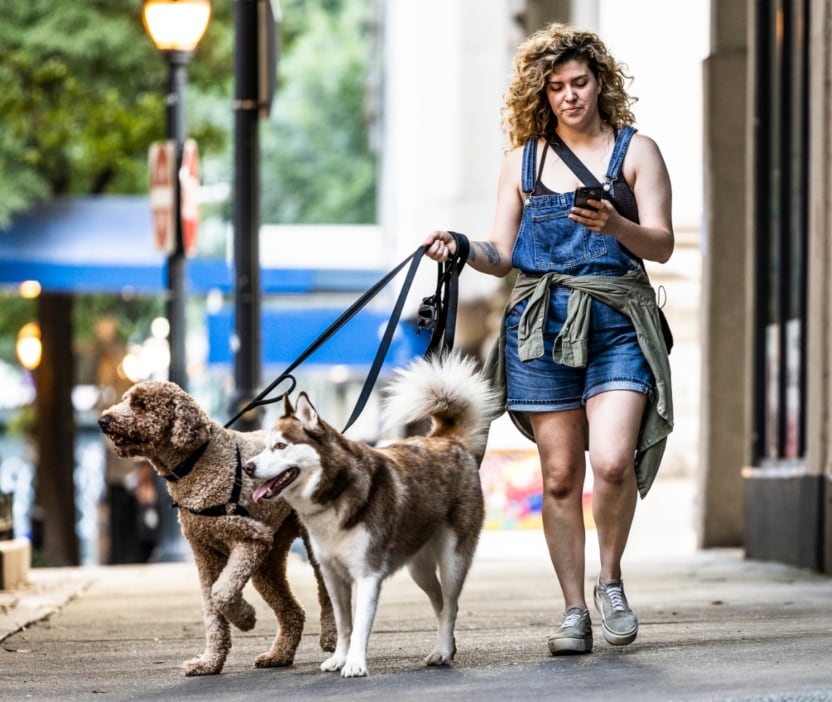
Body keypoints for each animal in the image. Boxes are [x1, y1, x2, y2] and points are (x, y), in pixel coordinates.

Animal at [100, 382, 338, 680]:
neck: (196, 461)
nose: (103, 420)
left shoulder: (250, 538)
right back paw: (278, 655)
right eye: (125, 399)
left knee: (328, 592)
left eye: (140, 404)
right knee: (293, 612)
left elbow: (221, 592)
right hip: (268, 561)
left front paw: (246, 618)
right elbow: (212, 609)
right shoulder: (205, 553)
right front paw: (209, 662)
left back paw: (331, 637)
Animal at [244, 354, 498, 680]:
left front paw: (355, 664)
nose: (248, 467)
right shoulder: (332, 575)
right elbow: (344, 624)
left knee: (451, 604)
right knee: (440, 604)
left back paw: (442, 650)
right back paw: (447, 647)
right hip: (418, 567)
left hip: (453, 559)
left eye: (280, 446)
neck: (336, 492)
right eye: (265, 446)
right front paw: (339, 658)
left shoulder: (368, 574)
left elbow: (360, 626)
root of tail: (448, 440)